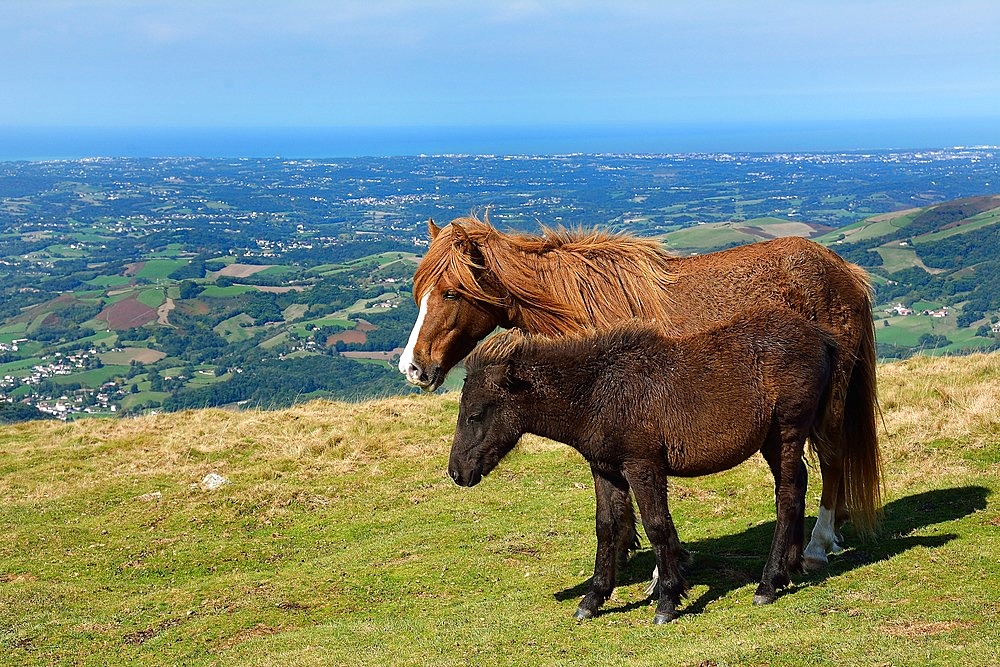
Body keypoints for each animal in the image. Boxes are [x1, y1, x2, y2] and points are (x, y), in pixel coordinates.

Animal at [400, 214, 884, 568]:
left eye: (450, 292)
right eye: (419, 293)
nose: (412, 367)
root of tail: (844, 270)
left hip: (830, 398)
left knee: (833, 453)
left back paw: (819, 542)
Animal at [452, 310, 836, 624]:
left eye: (475, 414)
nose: (457, 473)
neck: (598, 392)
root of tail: (819, 335)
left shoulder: (643, 467)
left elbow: (656, 526)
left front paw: (668, 600)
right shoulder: (605, 470)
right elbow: (607, 527)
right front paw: (592, 599)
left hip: (785, 434)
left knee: (787, 498)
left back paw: (768, 583)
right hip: (775, 442)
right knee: (798, 487)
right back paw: (789, 568)